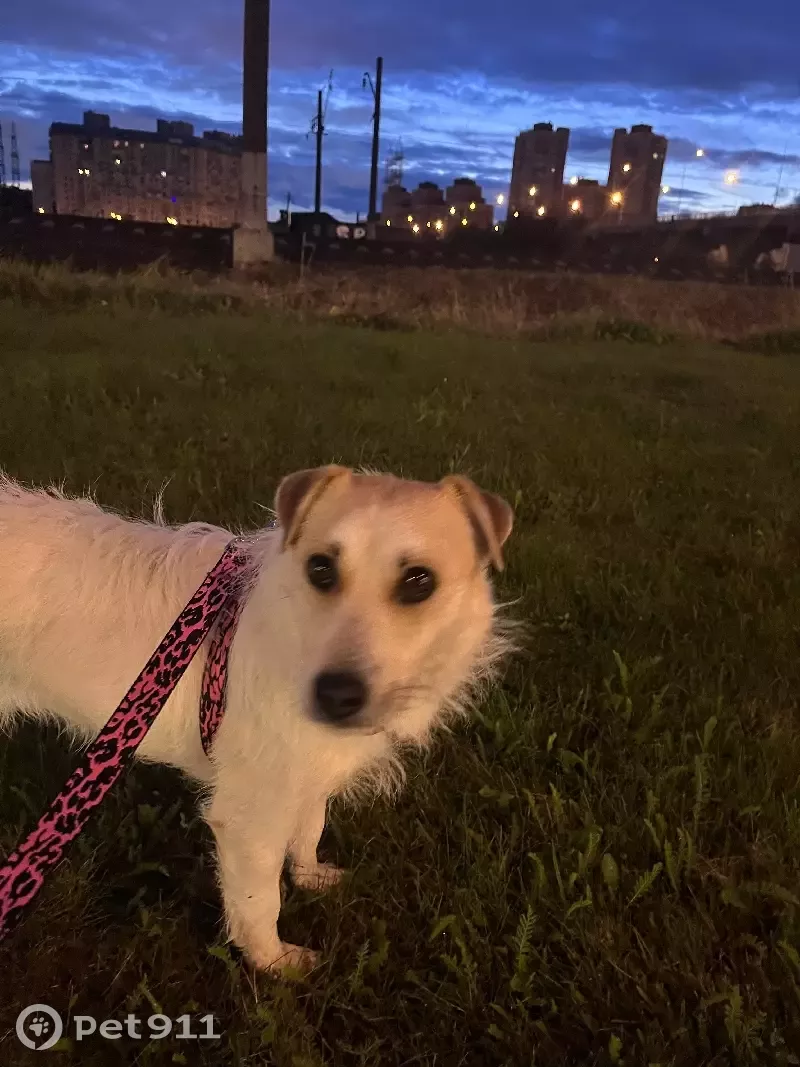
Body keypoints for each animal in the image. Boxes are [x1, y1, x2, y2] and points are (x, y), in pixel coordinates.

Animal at [0, 466, 513, 972]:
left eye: (419, 581)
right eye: (320, 568)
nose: (334, 695)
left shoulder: (304, 772)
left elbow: (310, 826)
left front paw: (309, 875)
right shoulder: (248, 818)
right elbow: (260, 898)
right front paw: (273, 962)